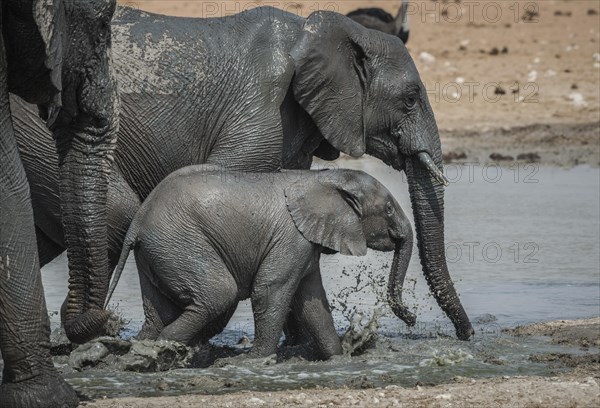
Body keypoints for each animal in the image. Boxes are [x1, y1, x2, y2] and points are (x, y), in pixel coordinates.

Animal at [105, 164, 414, 358]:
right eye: (388, 209)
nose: (411, 319)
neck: (325, 177)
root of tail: (138, 220)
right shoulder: (291, 238)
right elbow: (270, 289)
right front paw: (255, 360)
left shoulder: (304, 245)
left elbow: (313, 302)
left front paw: (338, 358)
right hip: (179, 242)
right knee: (219, 294)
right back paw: (167, 350)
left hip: (156, 252)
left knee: (157, 313)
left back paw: (143, 350)